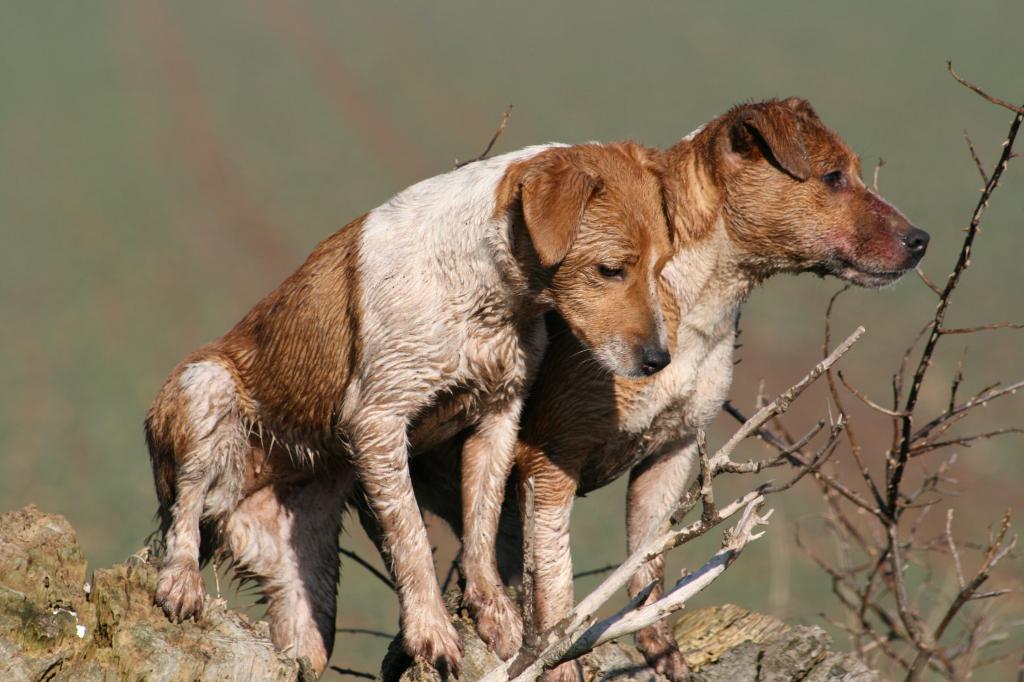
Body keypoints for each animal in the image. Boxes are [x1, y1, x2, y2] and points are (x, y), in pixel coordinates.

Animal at [144, 140, 671, 671]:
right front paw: (430, 632)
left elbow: (481, 526)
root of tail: (232, 503)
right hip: (203, 389)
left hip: (308, 589)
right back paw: (180, 582)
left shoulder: (498, 416)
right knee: (183, 511)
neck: (483, 294)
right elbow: (412, 536)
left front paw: (497, 617)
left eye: (661, 266)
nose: (659, 360)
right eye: (610, 269)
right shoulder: (379, 420)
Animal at [387, 98, 933, 675]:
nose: (922, 239)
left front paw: (664, 656)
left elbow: (648, 567)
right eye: (833, 177)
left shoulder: (670, 454)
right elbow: (555, 584)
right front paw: (560, 664)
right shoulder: (550, 459)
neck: (696, 295)